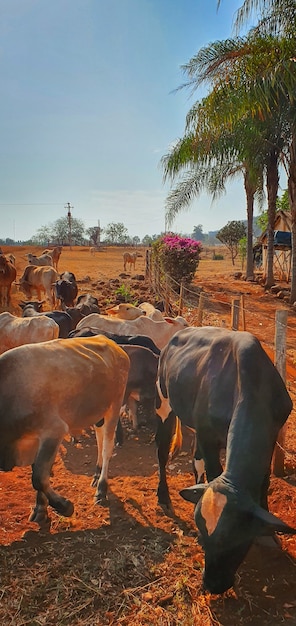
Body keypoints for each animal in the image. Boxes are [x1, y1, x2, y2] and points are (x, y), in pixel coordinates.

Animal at [0, 334, 130, 524]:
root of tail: (110, 342)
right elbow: (40, 472)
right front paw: (41, 509)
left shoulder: (54, 431)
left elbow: (39, 477)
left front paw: (64, 506)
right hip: (97, 412)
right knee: (99, 439)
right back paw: (96, 474)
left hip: (114, 406)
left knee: (107, 447)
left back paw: (101, 489)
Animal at [156, 324, 294, 592]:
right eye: (203, 537)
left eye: (235, 540)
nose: (212, 584)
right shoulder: (208, 436)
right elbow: (212, 470)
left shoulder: (271, 434)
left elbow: (264, 481)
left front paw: (267, 535)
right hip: (164, 402)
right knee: (161, 448)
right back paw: (164, 496)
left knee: (194, 458)